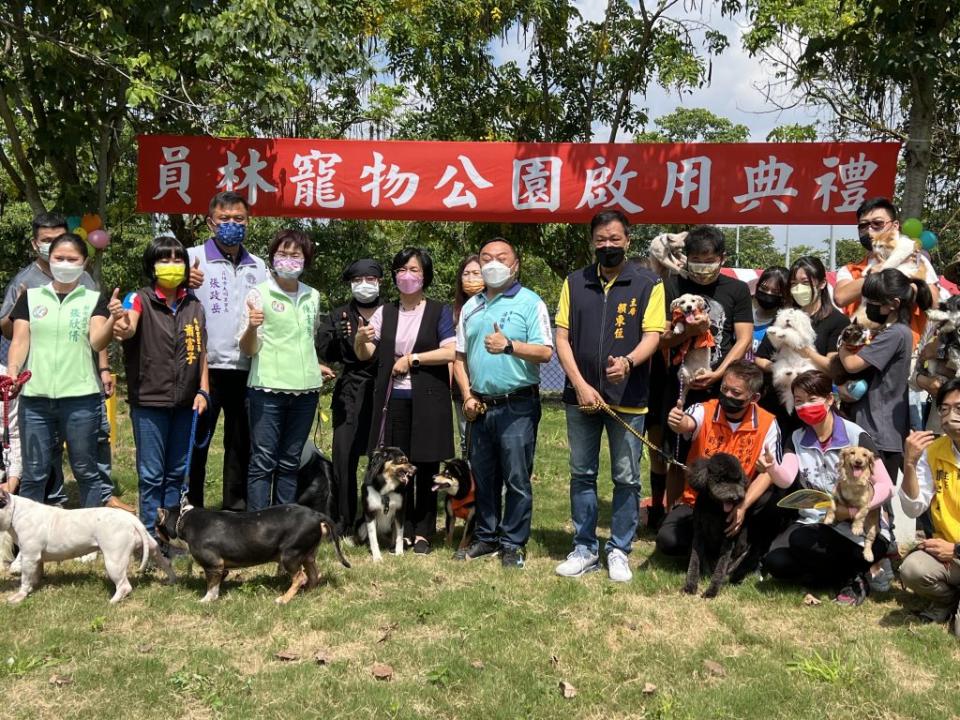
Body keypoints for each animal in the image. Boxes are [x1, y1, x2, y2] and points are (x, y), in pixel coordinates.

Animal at [0, 492, 174, 604]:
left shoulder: (29, 557)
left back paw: (113, 601)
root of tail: (130, 519)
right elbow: (35, 574)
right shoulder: (36, 559)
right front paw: (33, 586)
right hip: (151, 547)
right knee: (164, 562)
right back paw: (171, 579)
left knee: (124, 585)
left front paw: (19, 596)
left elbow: (25, 578)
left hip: (114, 561)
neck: (16, 511)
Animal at [156, 504, 350, 604]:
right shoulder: (221, 567)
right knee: (314, 575)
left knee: (300, 577)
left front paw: (206, 600)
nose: (153, 532)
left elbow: (211, 586)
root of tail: (317, 515)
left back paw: (283, 599)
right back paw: (305, 593)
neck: (185, 520)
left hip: (290, 555)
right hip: (307, 554)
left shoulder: (213, 564)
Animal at [680, 452, 752, 600]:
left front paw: (712, 591)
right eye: (722, 479)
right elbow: (694, 561)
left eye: (738, 480)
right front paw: (690, 585)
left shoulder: (728, 537)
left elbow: (721, 567)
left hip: (743, 547)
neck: (715, 508)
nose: (735, 498)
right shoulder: (699, 533)